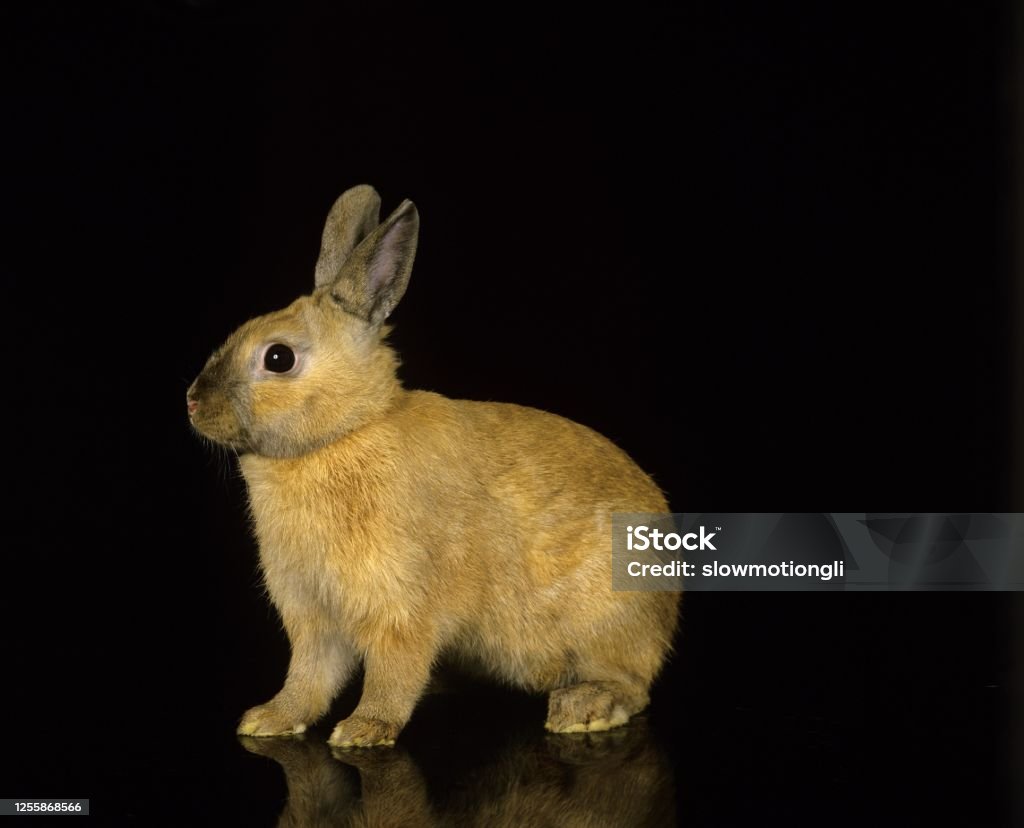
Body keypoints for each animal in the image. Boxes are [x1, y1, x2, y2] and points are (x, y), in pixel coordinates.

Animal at [187, 185, 680, 748]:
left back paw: (584, 708)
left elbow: (394, 673)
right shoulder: (314, 618)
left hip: (609, 618)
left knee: (632, 684)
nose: (192, 403)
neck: (343, 434)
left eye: (278, 358)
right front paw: (268, 719)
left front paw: (364, 729)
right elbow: (308, 677)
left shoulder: (402, 607)